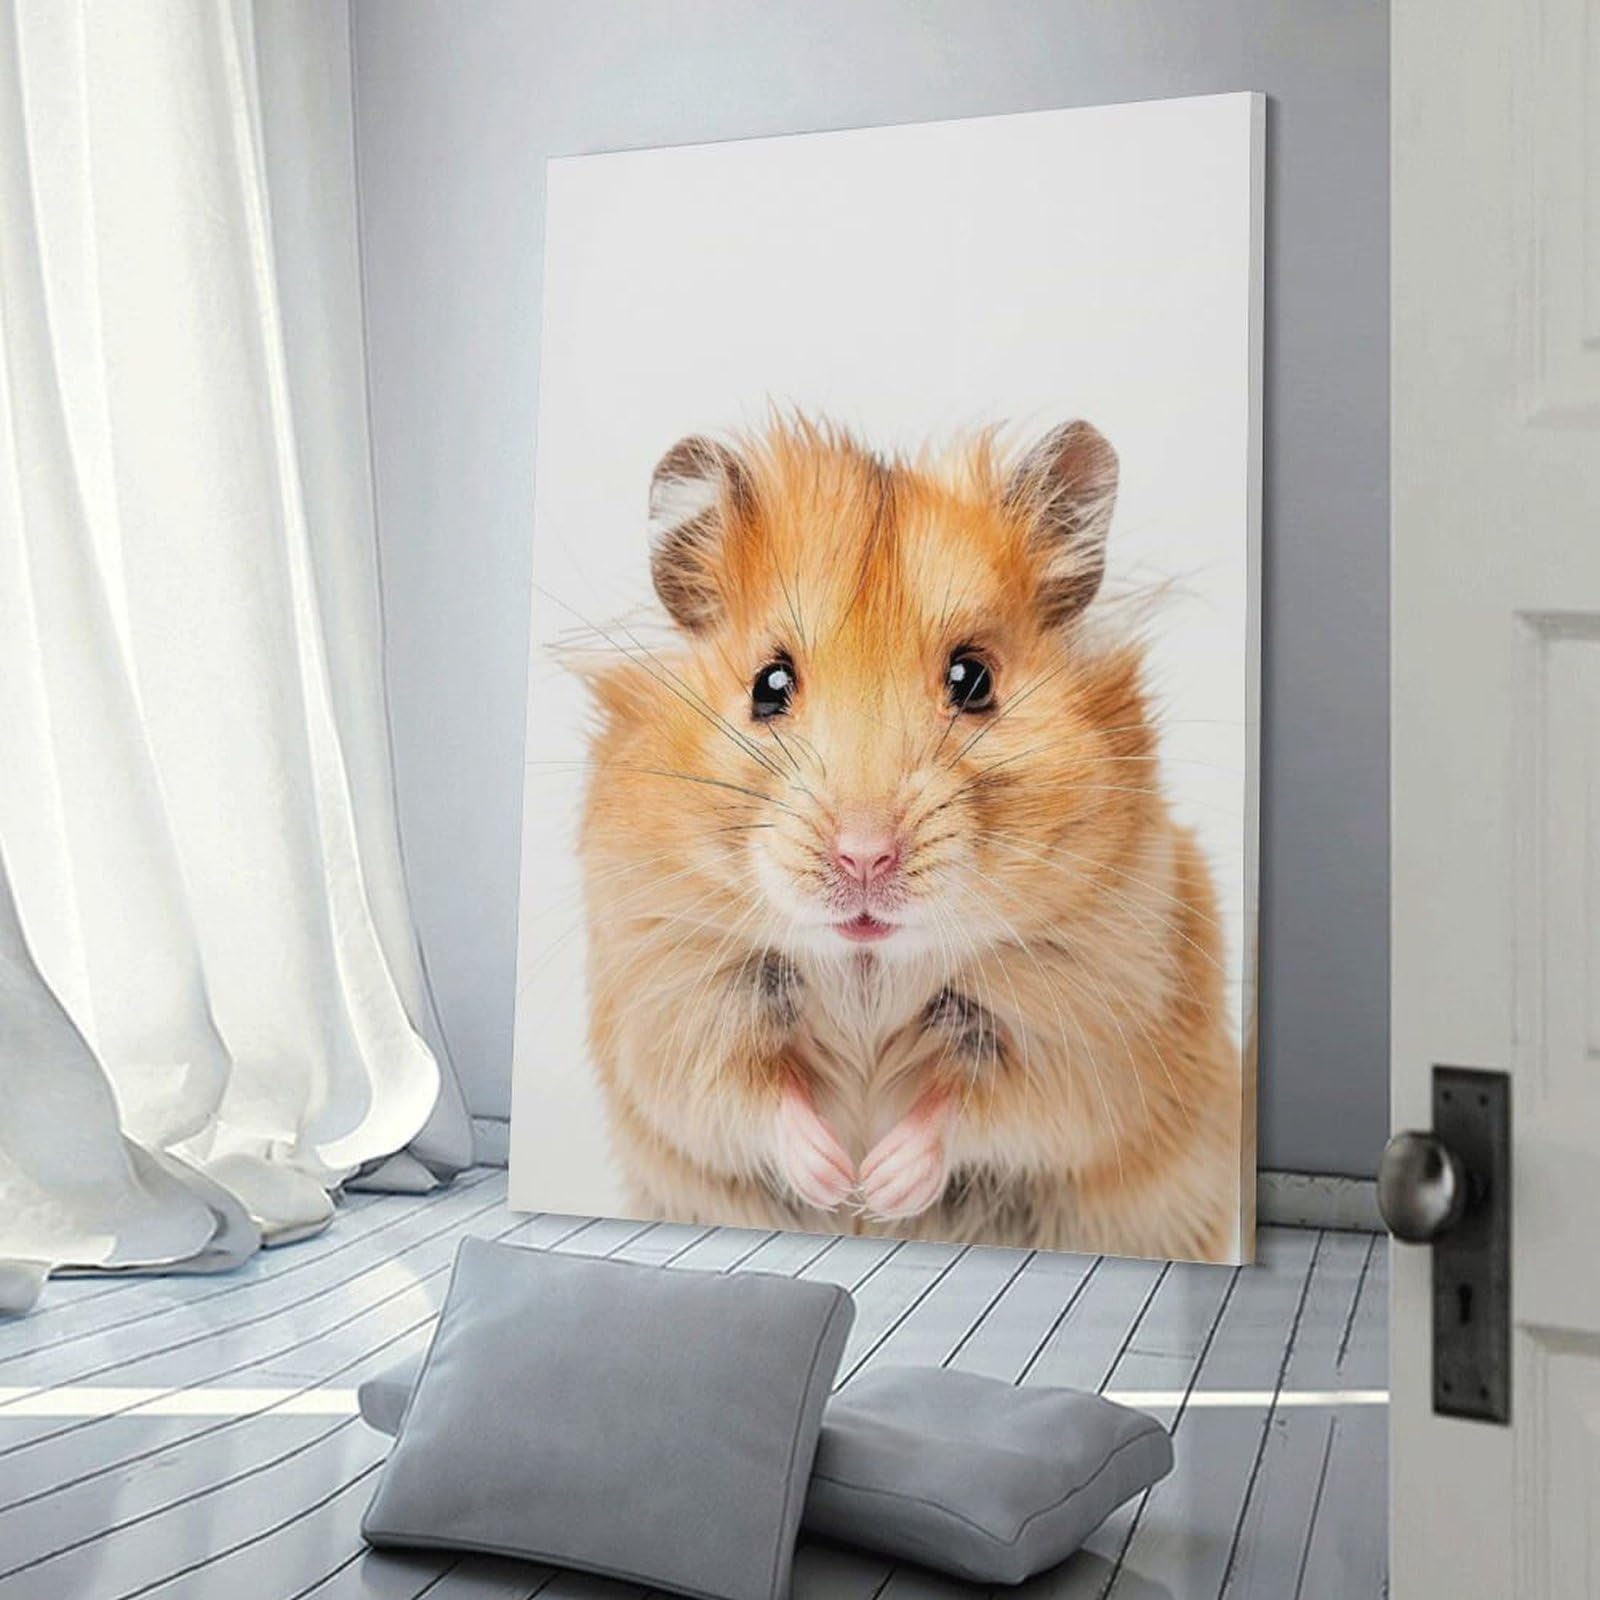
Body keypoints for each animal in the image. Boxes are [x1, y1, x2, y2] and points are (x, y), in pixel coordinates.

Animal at [575, 416, 1241, 1261]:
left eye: (973, 679)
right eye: (768, 684)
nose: (864, 857)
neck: (868, 968)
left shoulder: (1093, 1030)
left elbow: (980, 1107)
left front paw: (880, 1184)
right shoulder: (671, 1004)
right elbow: (742, 1098)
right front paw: (837, 1178)